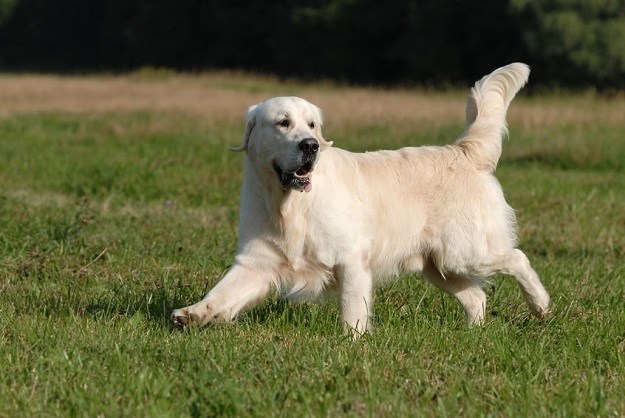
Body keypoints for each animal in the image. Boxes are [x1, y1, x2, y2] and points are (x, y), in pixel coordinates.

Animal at [172, 62, 552, 334]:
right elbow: (222, 292)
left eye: (312, 125)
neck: (289, 205)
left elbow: (352, 308)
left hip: (466, 251)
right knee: (477, 297)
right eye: (282, 123)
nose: (310, 146)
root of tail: (462, 151)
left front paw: (351, 342)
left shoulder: (351, 258)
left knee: (517, 258)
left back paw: (541, 306)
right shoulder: (256, 262)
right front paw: (192, 314)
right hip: (440, 265)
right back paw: (474, 333)